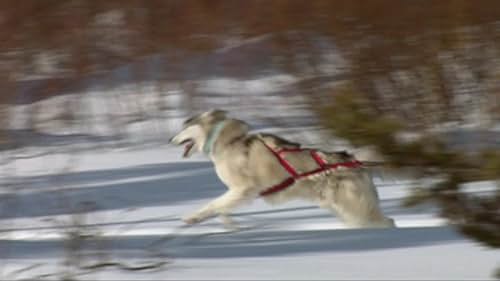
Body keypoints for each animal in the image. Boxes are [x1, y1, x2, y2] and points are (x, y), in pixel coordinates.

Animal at [170, 109, 396, 228]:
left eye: (184, 127)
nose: (170, 139)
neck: (228, 141)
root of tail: (353, 161)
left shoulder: (243, 190)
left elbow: (213, 204)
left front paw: (194, 217)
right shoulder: (236, 193)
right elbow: (222, 208)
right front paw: (229, 226)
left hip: (354, 207)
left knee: (386, 221)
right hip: (344, 209)